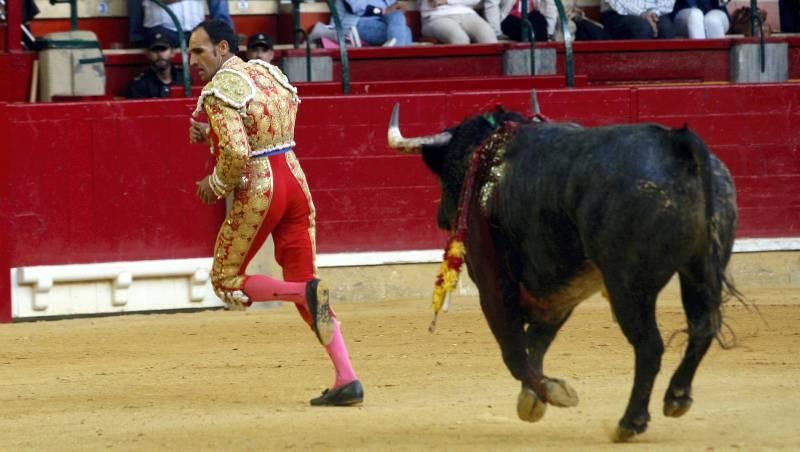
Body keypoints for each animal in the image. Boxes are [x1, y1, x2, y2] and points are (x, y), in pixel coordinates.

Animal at [388, 105, 736, 442]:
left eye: (451, 169)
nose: (441, 216)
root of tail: (676, 143)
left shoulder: (492, 280)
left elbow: (514, 349)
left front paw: (553, 392)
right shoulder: (562, 288)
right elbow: (536, 340)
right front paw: (531, 399)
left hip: (627, 285)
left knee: (649, 345)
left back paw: (630, 421)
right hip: (698, 270)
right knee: (702, 327)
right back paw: (677, 396)